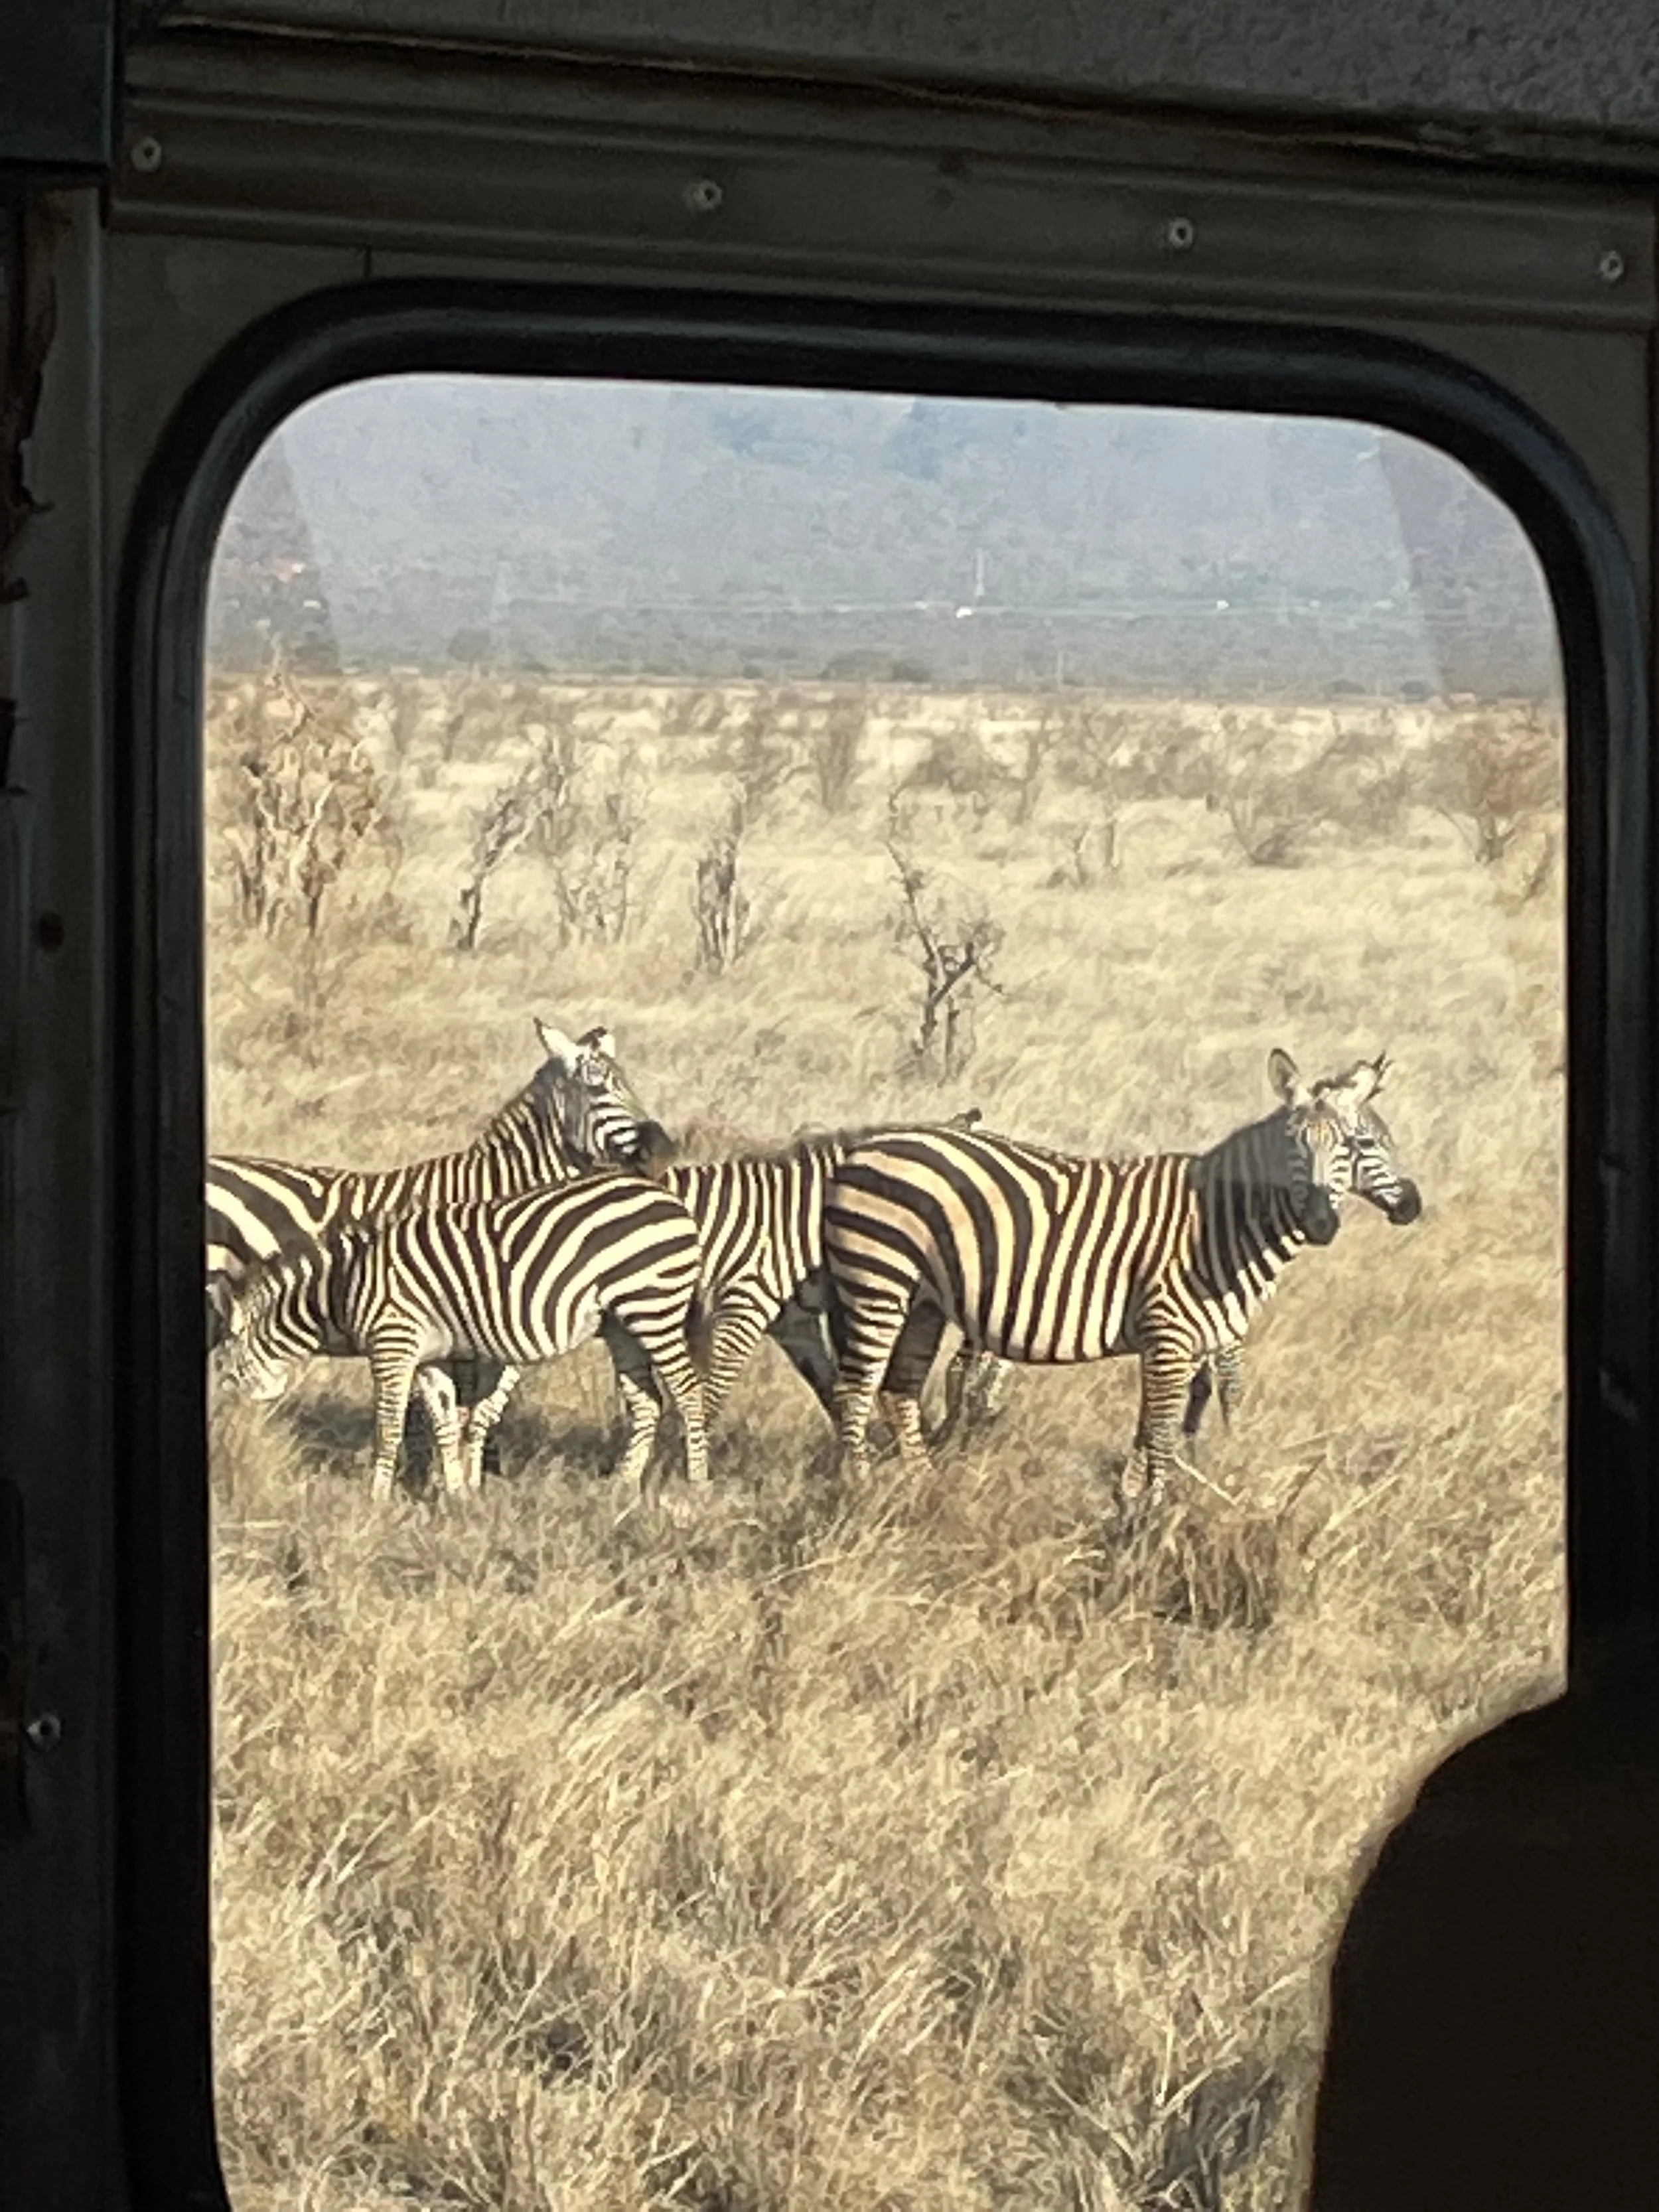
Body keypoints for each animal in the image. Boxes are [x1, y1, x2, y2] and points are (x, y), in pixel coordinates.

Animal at [215, 1174, 708, 1501]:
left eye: (221, 1368)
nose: (228, 1437)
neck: (340, 1290)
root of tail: (672, 1202)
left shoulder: (393, 1342)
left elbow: (389, 1424)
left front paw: (377, 1498)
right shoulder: (429, 1355)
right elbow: (446, 1420)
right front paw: (455, 1494)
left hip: (652, 1307)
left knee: (688, 1393)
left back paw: (697, 1485)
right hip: (620, 1325)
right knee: (648, 1402)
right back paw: (621, 1487)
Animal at [822, 1050, 1419, 1503]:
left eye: (1351, 1145)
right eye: (1295, 1144)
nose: (1321, 1223)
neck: (1221, 1223)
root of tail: (865, 1147)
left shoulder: (1182, 1340)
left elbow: (1154, 1425)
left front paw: (1130, 1501)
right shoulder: (1171, 1335)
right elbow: (1164, 1430)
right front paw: (1153, 1519)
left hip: (922, 1302)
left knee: (899, 1389)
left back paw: (923, 1489)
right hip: (878, 1282)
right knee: (855, 1389)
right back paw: (858, 1494)